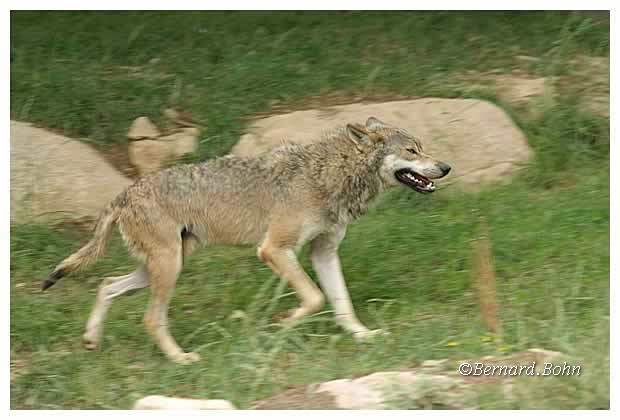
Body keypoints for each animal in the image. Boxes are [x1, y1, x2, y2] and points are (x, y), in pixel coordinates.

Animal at [43, 116, 450, 362]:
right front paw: (281, 324)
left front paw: (363, 336)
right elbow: (315, 298)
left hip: (165, 265)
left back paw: (92, 340)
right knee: (150, 318)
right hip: (168, 268)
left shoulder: (324, 252)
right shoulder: (273, 250)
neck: (330, 175)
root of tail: (125, 194)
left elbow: (341, 303)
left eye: (422, 147)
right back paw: (180, 359)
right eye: (412, 151)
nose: (446, 167)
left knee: (107, 284)